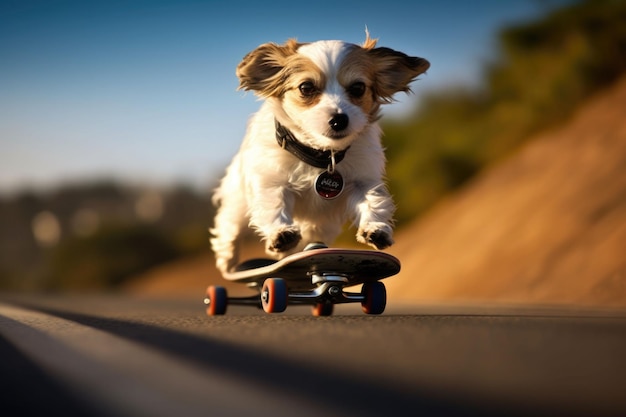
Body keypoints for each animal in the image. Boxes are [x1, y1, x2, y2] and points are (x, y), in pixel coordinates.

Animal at [212, 33, 426, 272]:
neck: (321, 155)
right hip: (237, 200)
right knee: (229, 227)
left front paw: (376, 228)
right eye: (306, 88)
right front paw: (281, 232)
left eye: (358, 88)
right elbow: (274, 203)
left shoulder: (362, 179)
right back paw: (228, 257)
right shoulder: (271, 179)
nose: (339, 119)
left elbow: (373, 201)